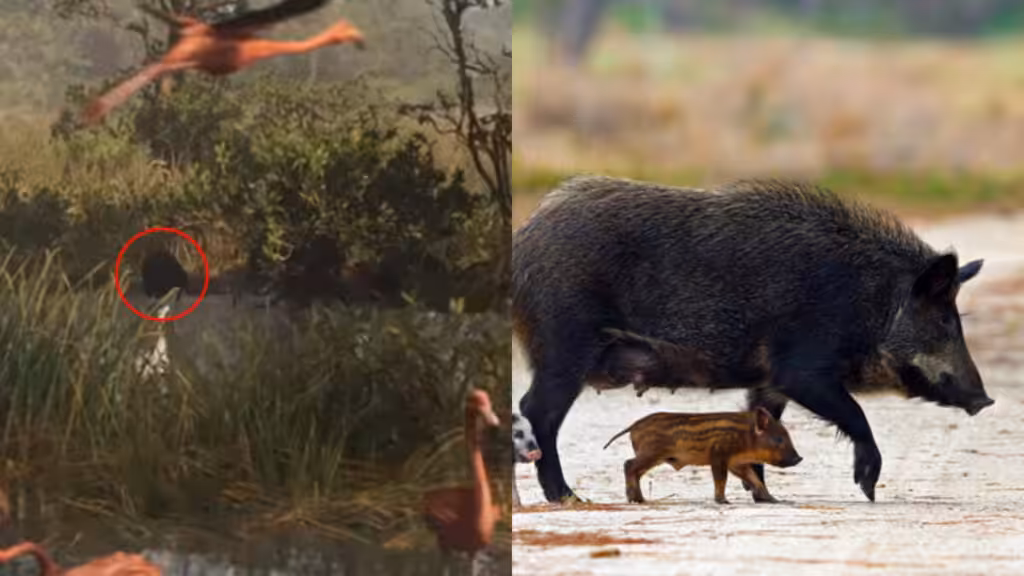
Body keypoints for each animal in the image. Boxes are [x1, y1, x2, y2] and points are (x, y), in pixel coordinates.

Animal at [603, 407, 803, 504]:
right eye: (778, 439)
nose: (799, 458)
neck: (745, 437)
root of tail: (634, 425)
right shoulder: (719, 456)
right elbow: (721, 479)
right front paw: (724, 502)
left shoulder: (737, 463)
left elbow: (754, 479)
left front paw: (774, 500)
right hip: (651, 453)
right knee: (628, 464)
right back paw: (636, 500)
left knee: (634, 470)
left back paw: (638, 499)